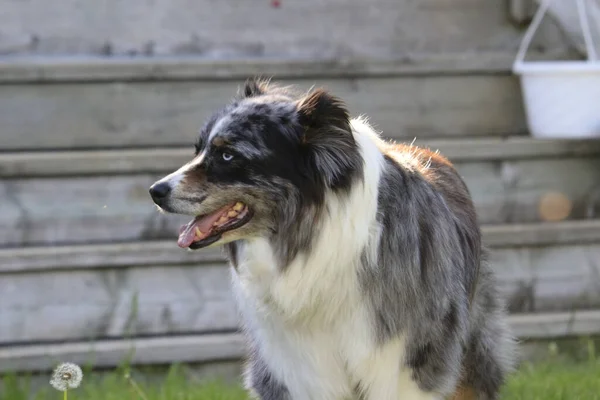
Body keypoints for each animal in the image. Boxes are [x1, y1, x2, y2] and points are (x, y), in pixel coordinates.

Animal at [149, 79, 516, 400]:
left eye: (228, 155)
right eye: (199, 149)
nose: (156, 191)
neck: (308, 235)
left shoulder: (401, 362)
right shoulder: (298, 366)